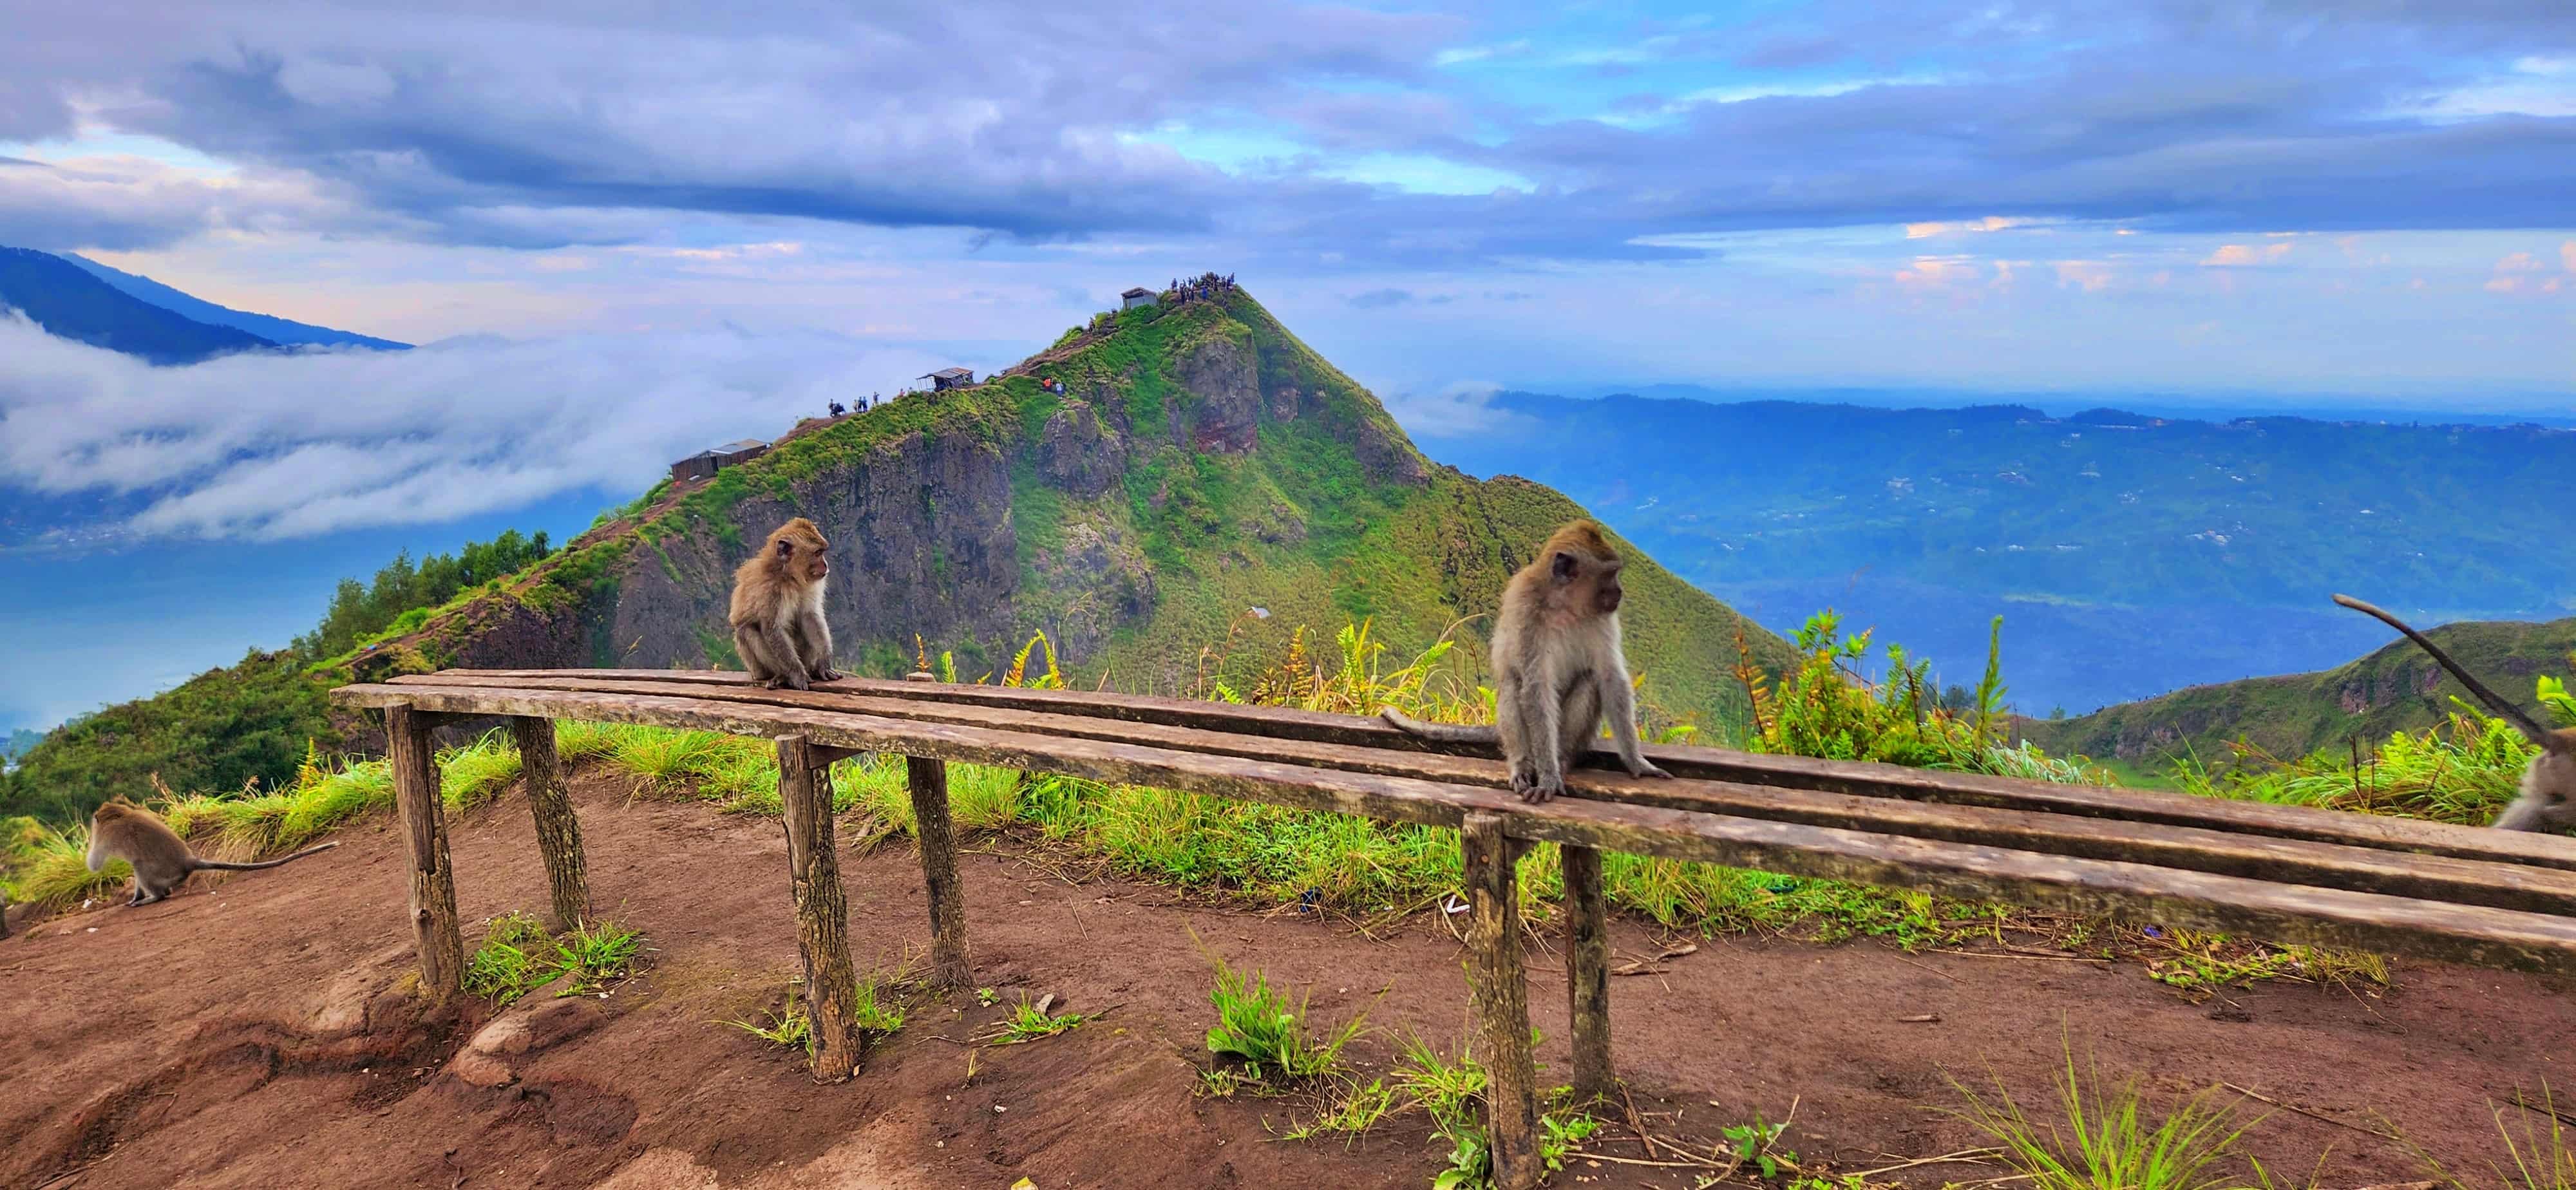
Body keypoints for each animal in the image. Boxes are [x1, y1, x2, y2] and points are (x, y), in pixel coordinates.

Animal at [86, 796, 340, 907]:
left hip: (159, 872)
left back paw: (154, 897)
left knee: (140, 867)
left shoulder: (104, 836)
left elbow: (95, 864)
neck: (118, 814)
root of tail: (189, 861)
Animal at [730, 517, 842, 691]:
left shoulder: (810, 584)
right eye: (818, 553)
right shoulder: (771, 590)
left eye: (822, 552)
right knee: (747, 630)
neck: (788, 576)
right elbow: (773, 629)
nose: (826, 565)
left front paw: (824, 663)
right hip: (757, 669)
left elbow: (810, 616)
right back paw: (782, 676)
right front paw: (798, 675)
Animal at [1380, 520, 1672, 803]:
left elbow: (1610, 677)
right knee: (1513, 684)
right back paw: (1523, 764)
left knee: (1589, 680)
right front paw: (1548, 778)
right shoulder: (1526, 611)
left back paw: (1563, 759)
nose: (1620, 592)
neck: (1565, 605)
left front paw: (1636, 762)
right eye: (1610, 574)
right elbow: (1535, 687)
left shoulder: (1603, 617)